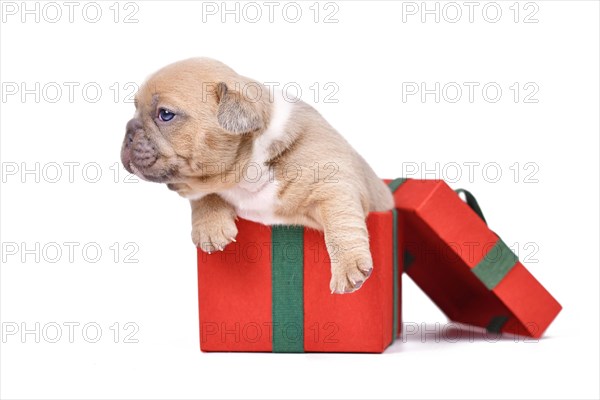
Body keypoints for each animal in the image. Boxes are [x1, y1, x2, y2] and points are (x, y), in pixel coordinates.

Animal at [121, 57, 394, 294]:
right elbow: (204, 194)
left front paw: (349, 267)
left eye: (165, 114)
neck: (245, 172)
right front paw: (210, 227)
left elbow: (341, 223)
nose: (128, 130)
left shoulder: (335, 186)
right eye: (134, 110)